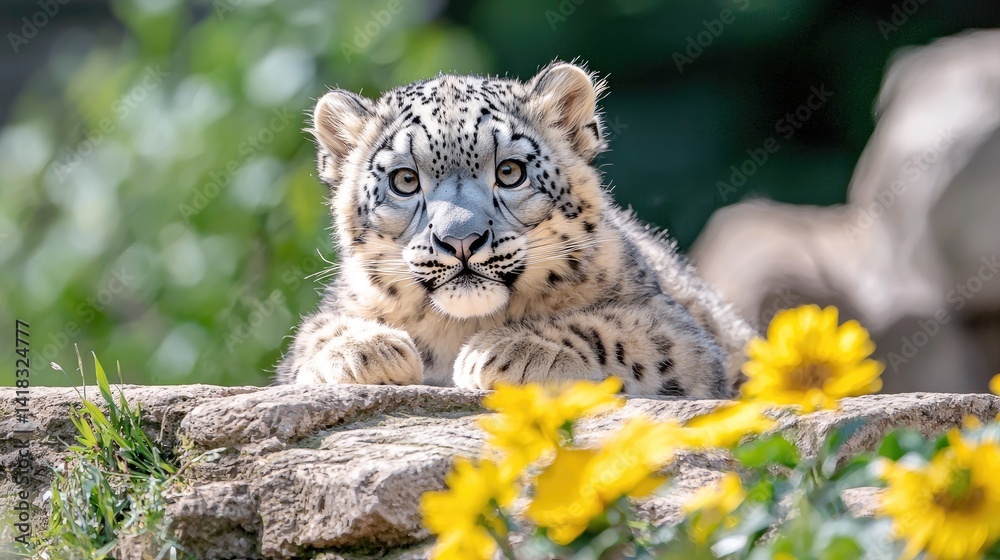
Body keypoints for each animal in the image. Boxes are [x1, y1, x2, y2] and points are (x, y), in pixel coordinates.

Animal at [275, 61, 755, 398]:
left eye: (509, 172)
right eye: (405, 180)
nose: (460, 240)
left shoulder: (679, 335)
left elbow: (618, 329)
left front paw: (508, 351)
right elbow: (311, 337)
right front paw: (361, 351)